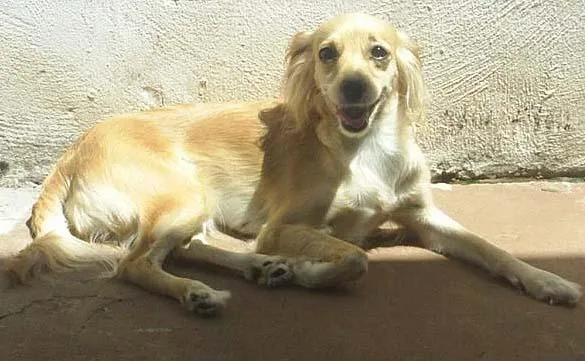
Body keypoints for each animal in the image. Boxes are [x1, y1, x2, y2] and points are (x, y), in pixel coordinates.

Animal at [4, 14, 580, 314]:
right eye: (327, 53)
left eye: (379, 53)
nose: (355, 88)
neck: (367, 149)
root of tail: (71, 151)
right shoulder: (283, 226)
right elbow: (355, 256)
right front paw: (311, 271)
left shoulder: (424, 216)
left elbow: (491, 248)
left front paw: (547, 281)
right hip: (181, 195)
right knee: (135, 263)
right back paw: (199, 292)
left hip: (192, 206)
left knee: (186, 248)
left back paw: (258, 268)